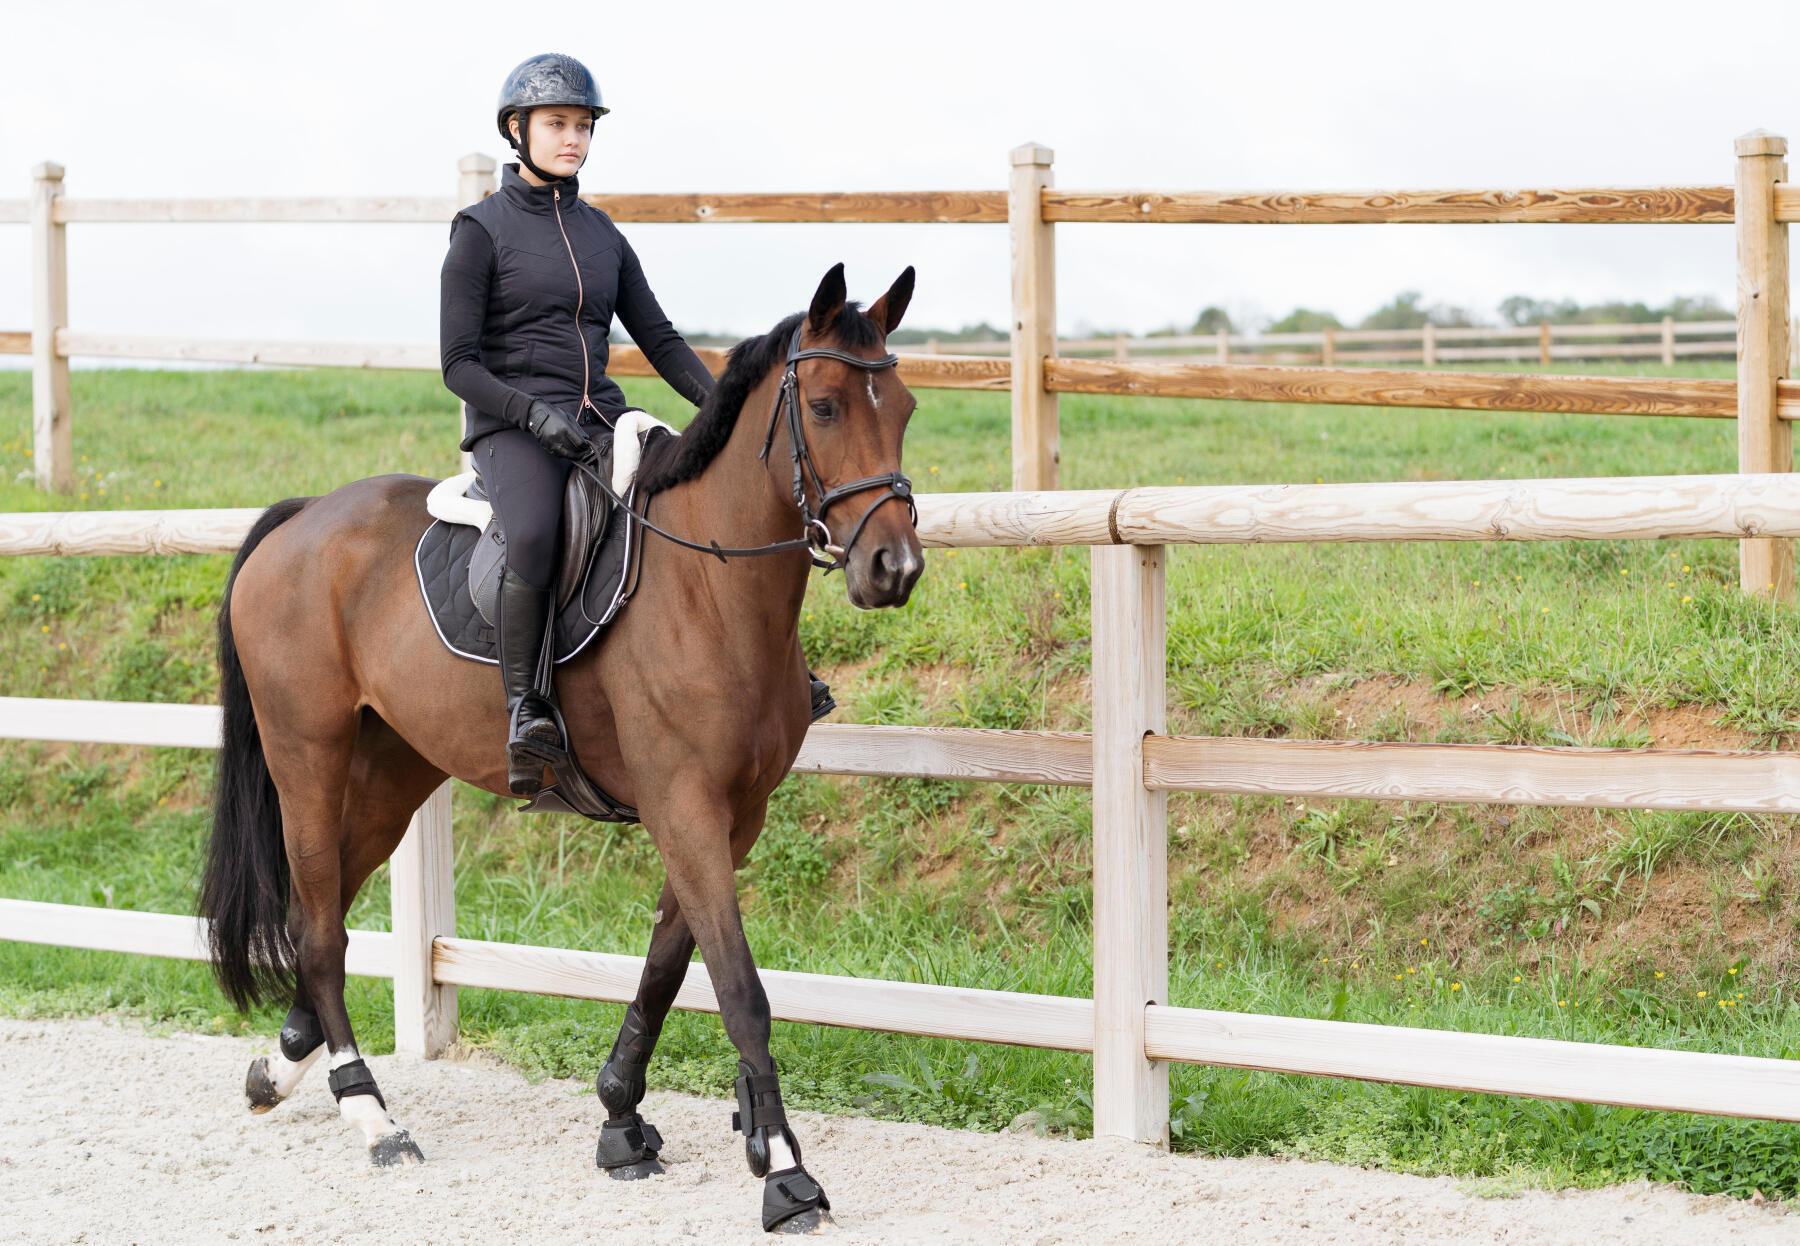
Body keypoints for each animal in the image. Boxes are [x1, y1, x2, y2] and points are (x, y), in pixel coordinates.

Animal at [204, 264, 921, 1238]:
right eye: (823, 406)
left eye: (906, 407)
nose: (895, 568)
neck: (708, 588)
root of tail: (303, 518)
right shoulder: (685, 805)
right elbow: (739, 987)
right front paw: (783, 1172)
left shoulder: (731, 814)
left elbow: (665, 966)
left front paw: (622, 1120)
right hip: (306, 757)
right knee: (315, 926)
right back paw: (373, 1116)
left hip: (392, 770)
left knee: (331, 907)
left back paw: (279, 1065)